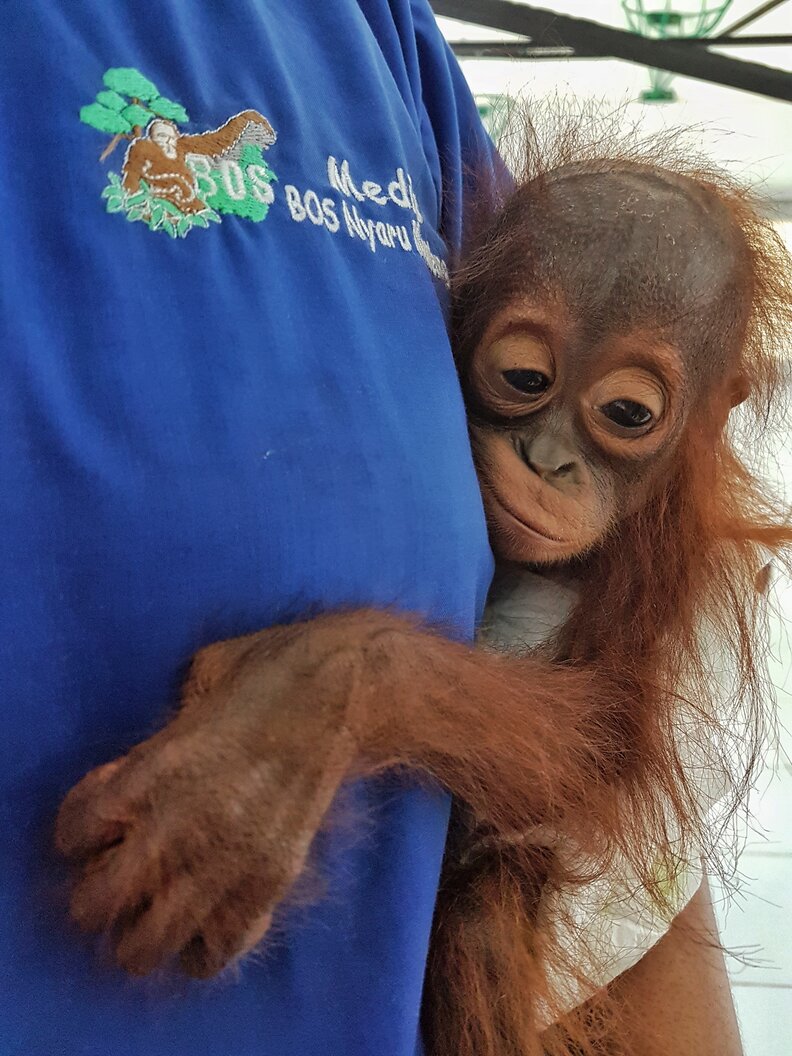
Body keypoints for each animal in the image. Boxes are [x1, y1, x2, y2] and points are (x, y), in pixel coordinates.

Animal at [56, 120, 792, 1054]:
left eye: (627, 414)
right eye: (524, 378)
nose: (549, 460)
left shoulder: (680, 579)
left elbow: (605, 754)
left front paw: (297, 708)